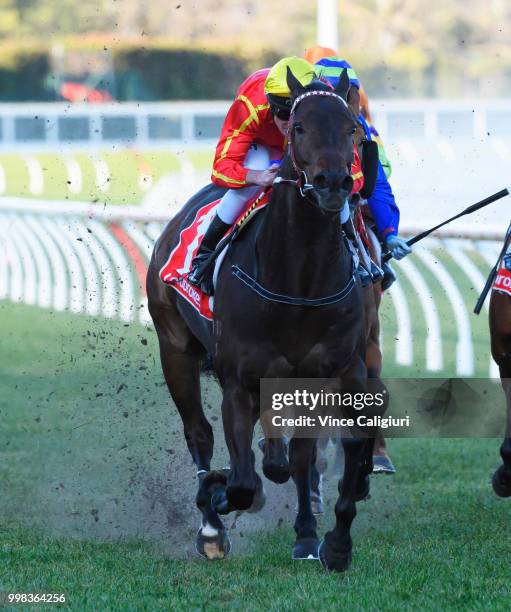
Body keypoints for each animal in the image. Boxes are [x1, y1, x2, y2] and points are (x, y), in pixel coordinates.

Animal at [146, 69, 386, 572]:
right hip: (173, 347)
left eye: (353, 130)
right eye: (299, 127)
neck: (298, 281)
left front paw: (322, 540)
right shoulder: (237, 380)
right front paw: (222, 495)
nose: (333, 183)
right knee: (198, 434)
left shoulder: (333, 370)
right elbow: (238, 481)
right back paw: (211, 525)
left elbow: (312, 453)